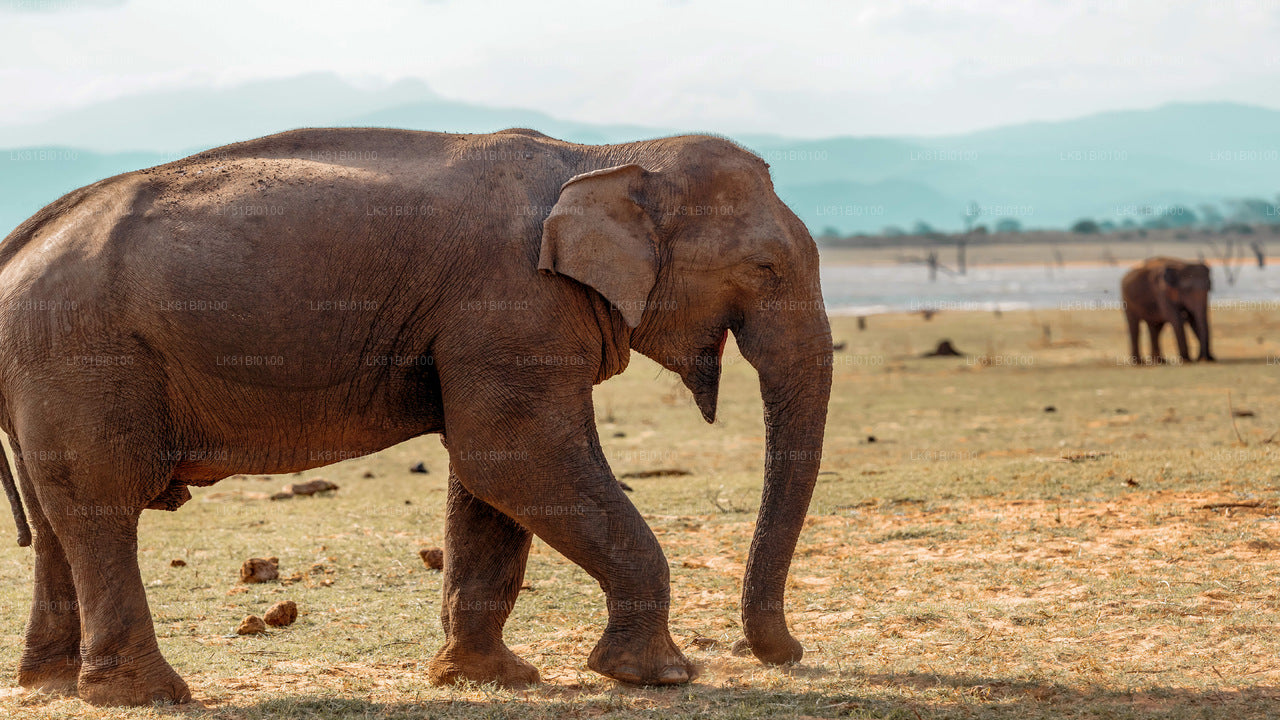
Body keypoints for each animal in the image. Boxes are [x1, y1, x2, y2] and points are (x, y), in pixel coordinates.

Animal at [0, 127, 834, 702]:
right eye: (766, 268)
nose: (788, 653)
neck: (604, 155)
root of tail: (19, 243)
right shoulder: (513, 303)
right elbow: (514, 456)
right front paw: (656, 676)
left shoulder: (494, 327)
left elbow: (491, 477)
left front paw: (489, 678)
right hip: (83, 357)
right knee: (102, 506)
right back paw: (148, 695)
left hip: (47, 372)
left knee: (55, 518)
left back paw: (51, 685)